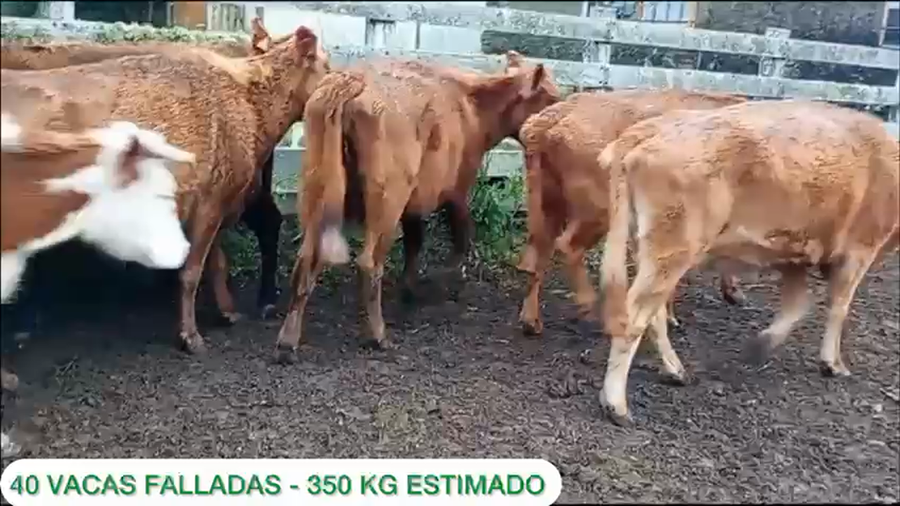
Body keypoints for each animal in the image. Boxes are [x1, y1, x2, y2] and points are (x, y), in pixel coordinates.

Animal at [1, 21, 331, 353]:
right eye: (326, 66)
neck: (249, 104)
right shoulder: (211, 200)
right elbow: (192, 270)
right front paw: (191, 337)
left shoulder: (216, 200)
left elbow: (216, 261)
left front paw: (227, 313)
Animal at [273, 51, 561, 362]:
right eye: (552, 98)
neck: (470, 103)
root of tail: (350, 82)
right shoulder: (455, 191)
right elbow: (461, 233)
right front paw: (453, 281)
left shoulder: (415, 202)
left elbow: (414, 241)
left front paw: (409, 289)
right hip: (387, 201)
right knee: (369, 263)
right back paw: (377, 335)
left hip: (317, 195)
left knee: (305, 261)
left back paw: (288, 341)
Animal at [515, 89, 748, 337]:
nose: (737, 295)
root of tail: (546, 121)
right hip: (599, 210)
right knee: (566, 245)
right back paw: (591, 309)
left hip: (547, 203)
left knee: (540, 251)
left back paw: (531, 322)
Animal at [597, 100, 900, 425]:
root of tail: (646, 130)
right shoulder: (859, 250)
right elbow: (838, 307)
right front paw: (833, 365)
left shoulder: (794, 257)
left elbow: (797, 303)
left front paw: (760, 345)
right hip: (672, 251)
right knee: (634, 315)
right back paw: (617, 406)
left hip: (649, 250)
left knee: (654, 313)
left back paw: (677, 372)